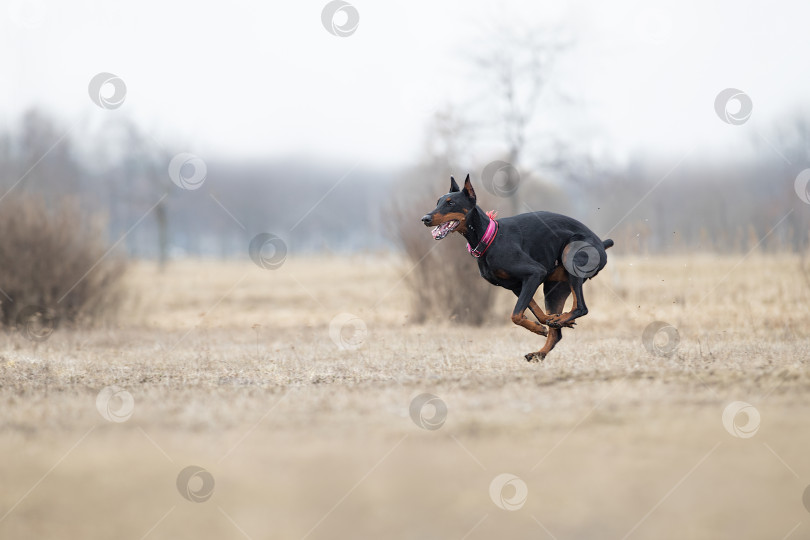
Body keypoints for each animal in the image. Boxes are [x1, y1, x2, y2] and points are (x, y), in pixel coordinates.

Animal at [422, 176, 612, 362]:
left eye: (451, 203)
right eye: (438, 202)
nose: (425, 218)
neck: (489, 238)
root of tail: (602, 244)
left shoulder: (535, 273)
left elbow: (516, 315)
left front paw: (540, 327)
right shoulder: (516, 286)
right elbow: (535, 312)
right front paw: (545, 322)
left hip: (571, 255)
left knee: (581, 307)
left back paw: (560, 322)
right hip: (554, 288)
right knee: (557, 333)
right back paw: (542, 349)